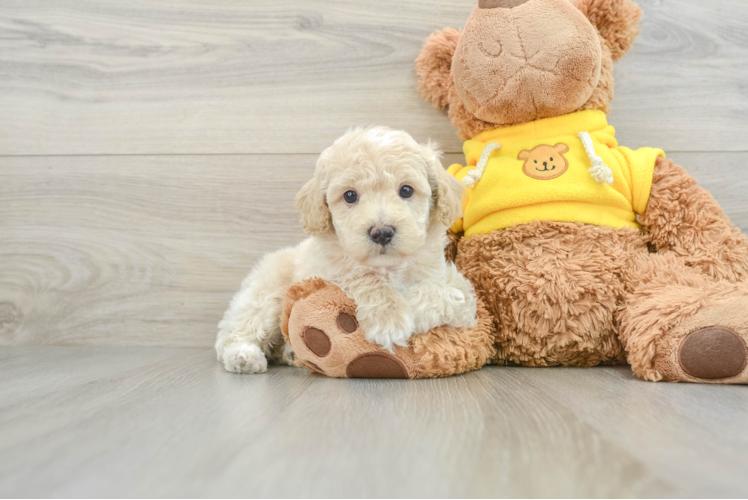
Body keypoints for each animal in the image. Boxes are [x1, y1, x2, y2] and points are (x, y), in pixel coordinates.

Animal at [213, 127, 476, 374]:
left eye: (406, 190)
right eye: (350, 195)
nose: (382, 232)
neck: (388, 266)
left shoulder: (460, 294)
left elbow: (450, 294)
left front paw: (409, 307)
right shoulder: (329, 274)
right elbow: (363, 278)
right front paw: (389, 317)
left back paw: (289, 352)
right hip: (265, 295)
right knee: (234, 332)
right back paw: (244, 357)